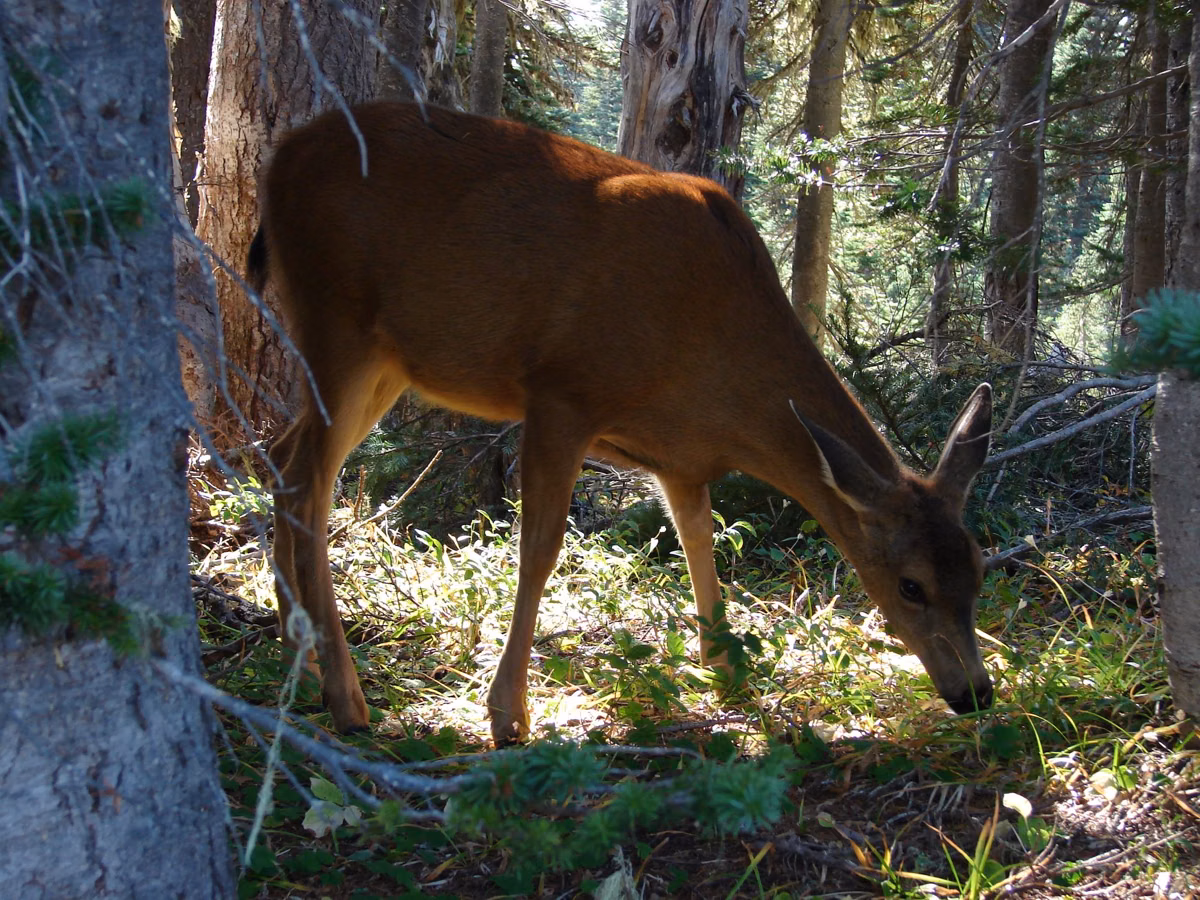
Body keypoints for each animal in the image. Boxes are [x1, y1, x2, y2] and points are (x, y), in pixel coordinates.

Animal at [249, 102, 995, 745]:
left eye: (978, 568)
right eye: (911, 585)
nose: (978, 694)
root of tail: (279, 159)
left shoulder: (681, 458)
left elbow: (699, 540)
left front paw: (727, 670)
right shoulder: (564, 392)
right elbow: (540, 548)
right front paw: (507, 712)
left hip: (386, 359)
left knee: (284, 458)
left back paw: (298, 658)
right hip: (335, 316)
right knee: (310, 481)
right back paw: (344, 695)